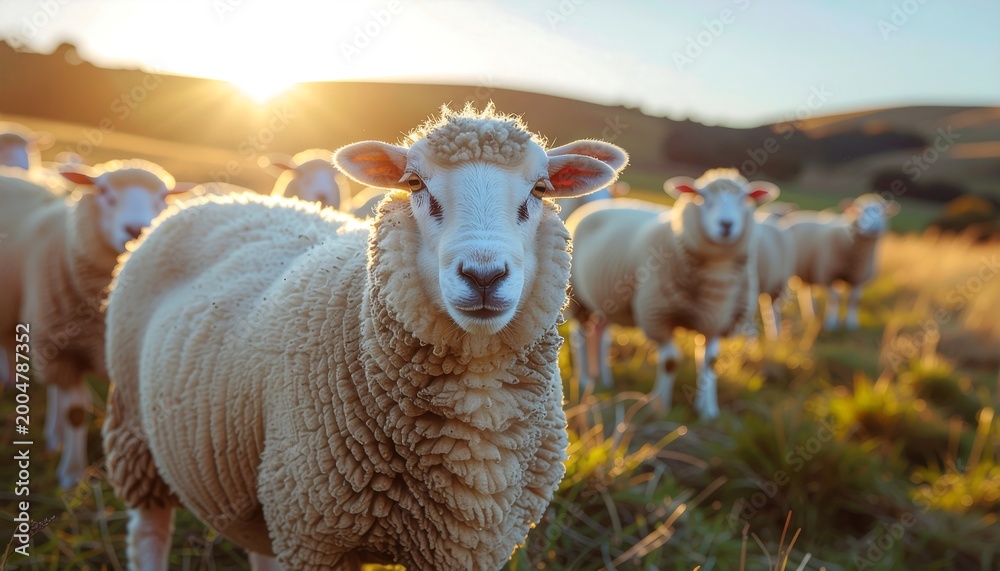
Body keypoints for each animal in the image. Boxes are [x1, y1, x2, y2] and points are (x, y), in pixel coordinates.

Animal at [0, 159, 190, 487]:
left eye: (162, 198)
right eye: (104, 193)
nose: (136, 229)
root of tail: (11, 175)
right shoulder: (66, 351)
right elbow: (75, 413)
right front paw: (71, 475)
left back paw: (53, 435)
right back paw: (13, 386)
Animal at [102, 104, 628, 570]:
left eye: (539, 189)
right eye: (415, 184)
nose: (484, 275)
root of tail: (216, 199)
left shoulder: (467, 547)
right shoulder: (313, 534)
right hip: (134, 429)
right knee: (149, 530)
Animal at [566, 169, 778, 419]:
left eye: (744, 199)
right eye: (702, 197)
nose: (726, 225)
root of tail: (593, 207)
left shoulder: (719, 319)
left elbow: (710, 361)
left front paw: (708, 411)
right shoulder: (657, 315)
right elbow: (670, 361)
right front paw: (660, 407)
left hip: (603, 299)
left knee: (600, 334)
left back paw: (602, 379)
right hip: (578, 298)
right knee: (580, 335)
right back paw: (583, 379)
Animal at [778, 194, 899, 330]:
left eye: (883, 211)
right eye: (859, 210)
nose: (874, 226)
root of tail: (797, 214)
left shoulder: (858, 278)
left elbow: (853, 300)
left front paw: (852, 324)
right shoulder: (829, 274)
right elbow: (834, 299)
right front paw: (831, 323)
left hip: (807, 269)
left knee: (806, 289)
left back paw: (812, 314)